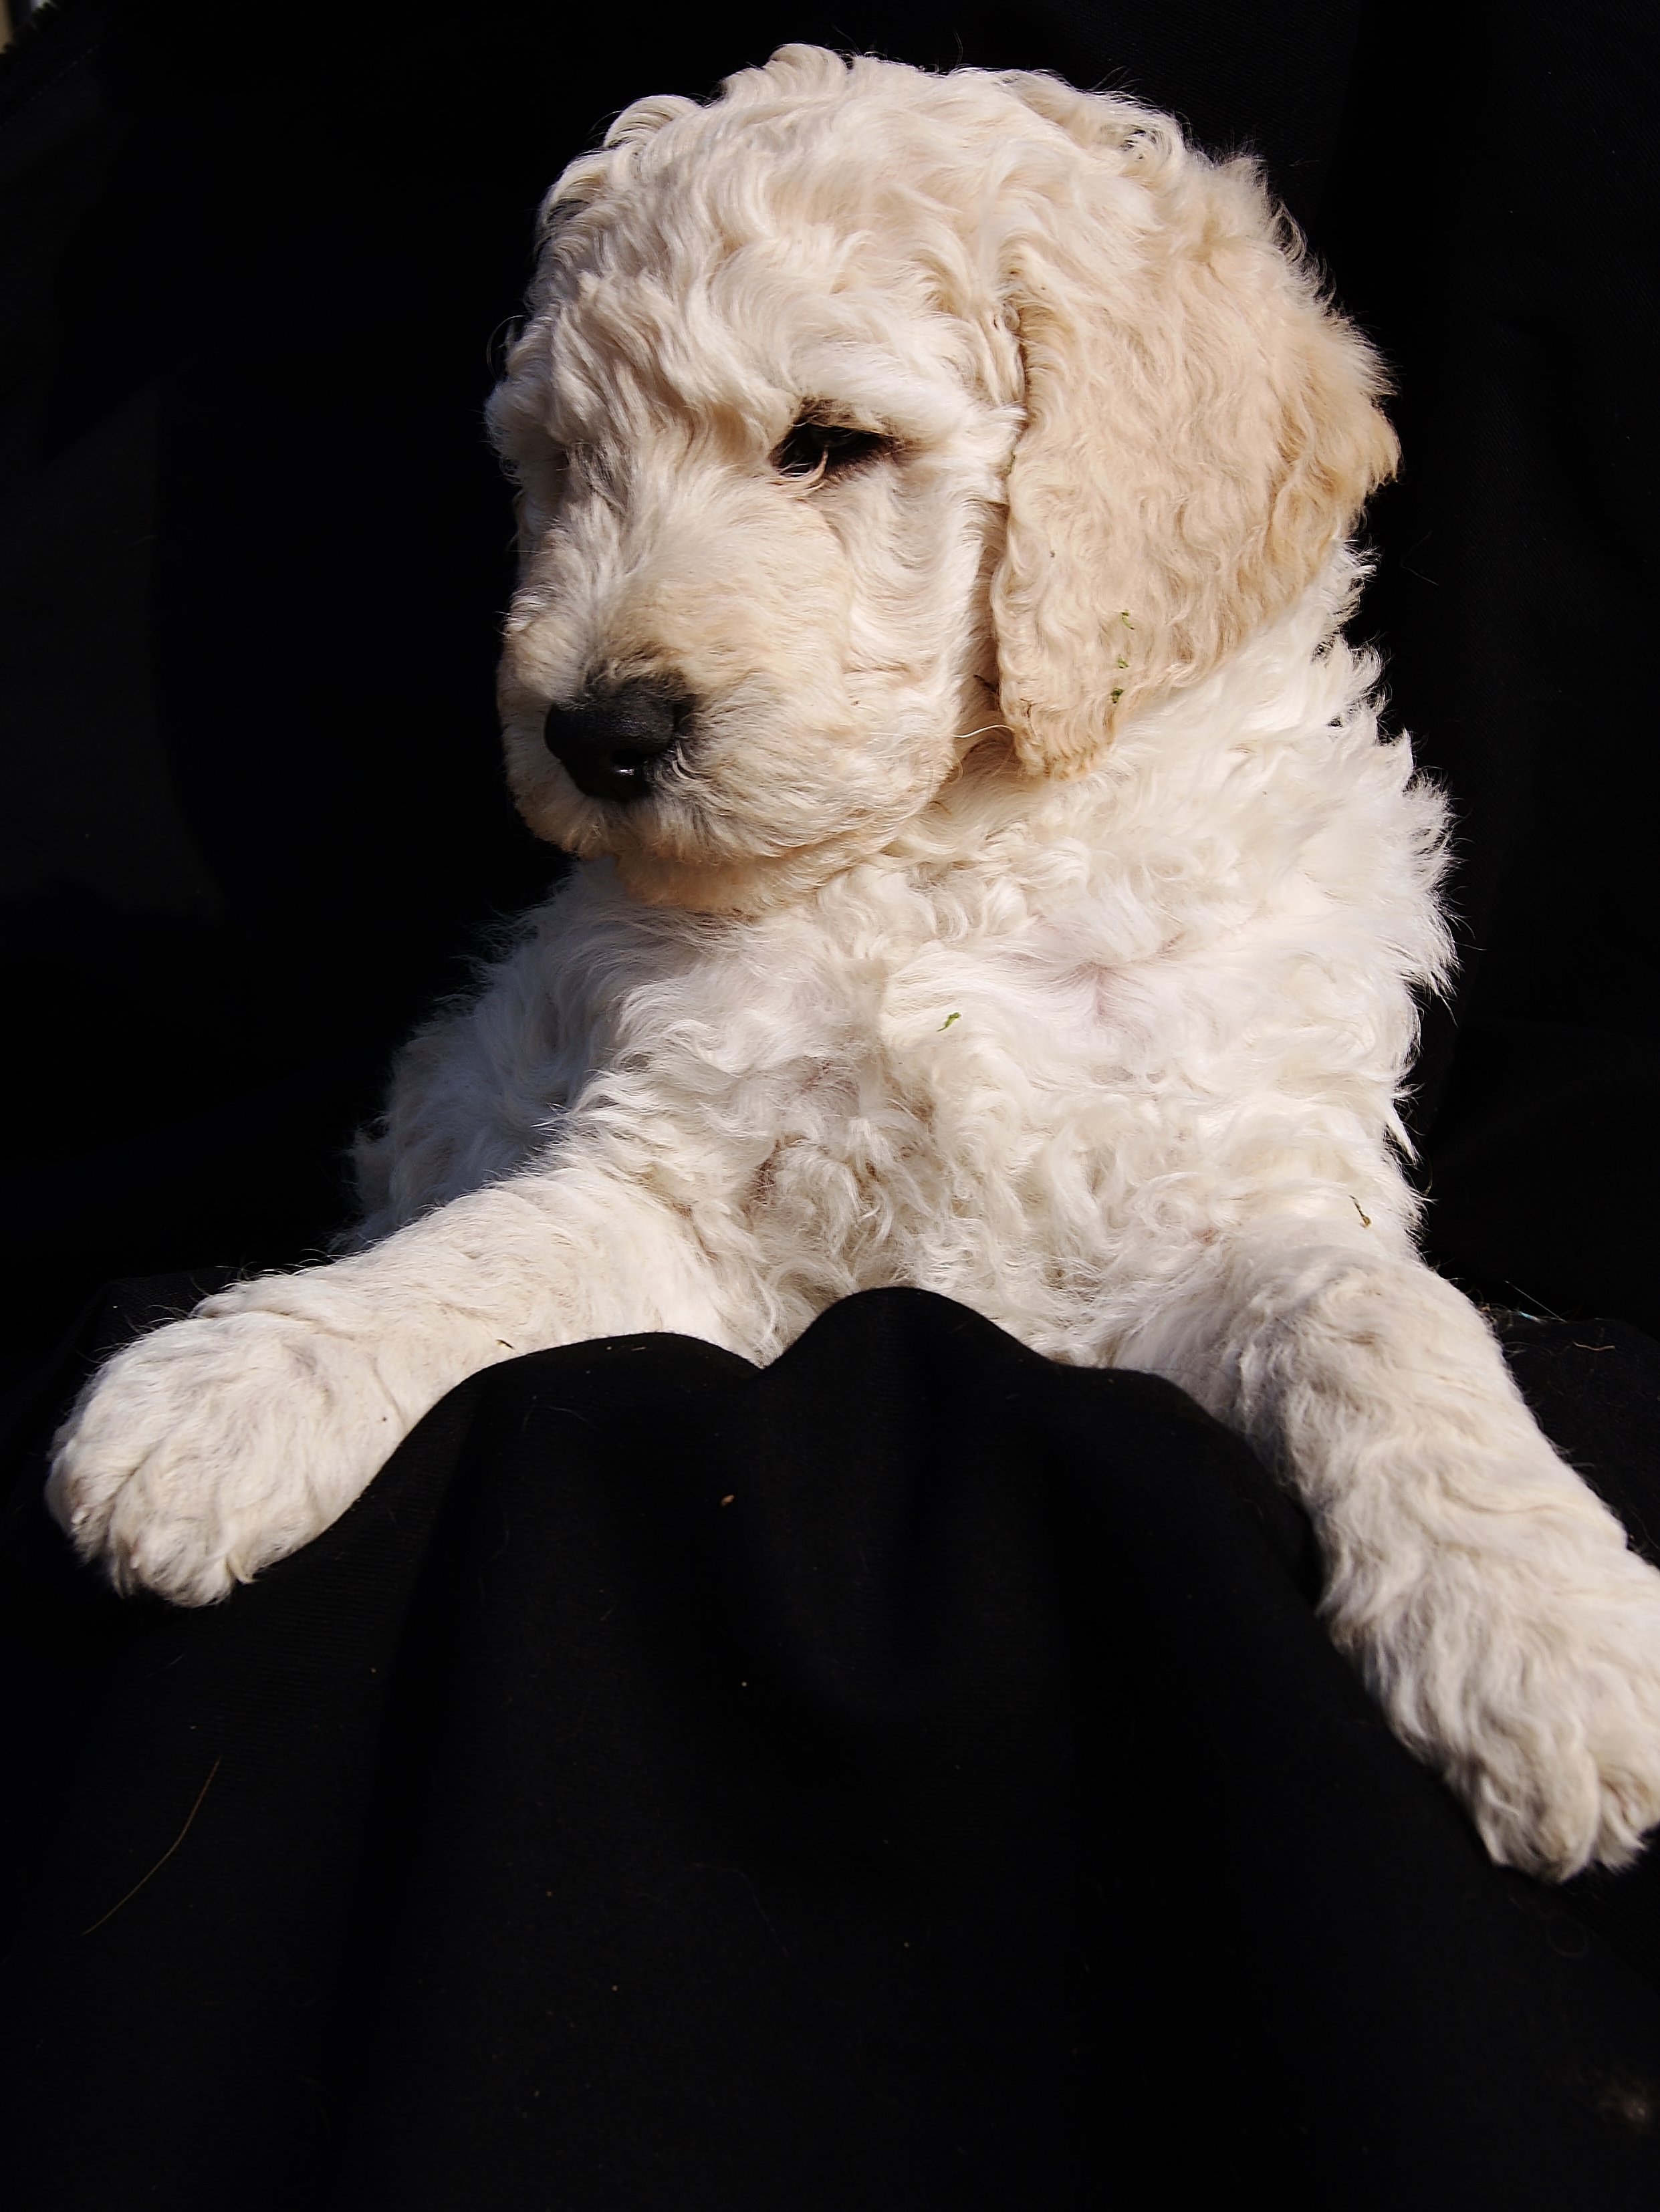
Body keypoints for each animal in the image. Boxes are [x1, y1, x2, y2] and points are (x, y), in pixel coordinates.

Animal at [48, 46, 1660, 1882]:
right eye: (563, 467)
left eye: (828, 445)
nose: (593, 732)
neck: (949, 867)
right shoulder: (673, 1191)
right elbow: (483, 1256)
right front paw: (230, 1390)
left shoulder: (1222, 1209)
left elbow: (1376, 1315)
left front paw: (1543, 1629)